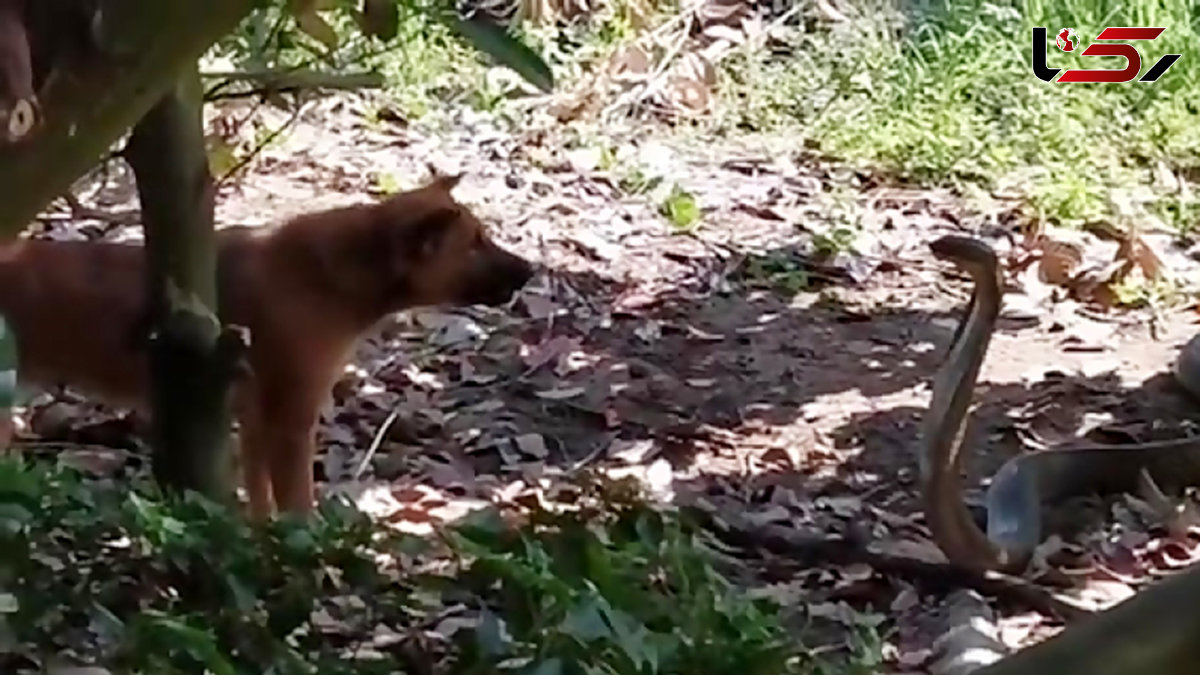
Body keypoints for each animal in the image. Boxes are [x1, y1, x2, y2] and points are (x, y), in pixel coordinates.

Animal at [0, 172, 535, 514]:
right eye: (476, 245)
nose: (531, 270)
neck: (328, 277)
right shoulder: (290, 419)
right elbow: (299, 506)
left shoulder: (255, 417)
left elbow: (261, 502)